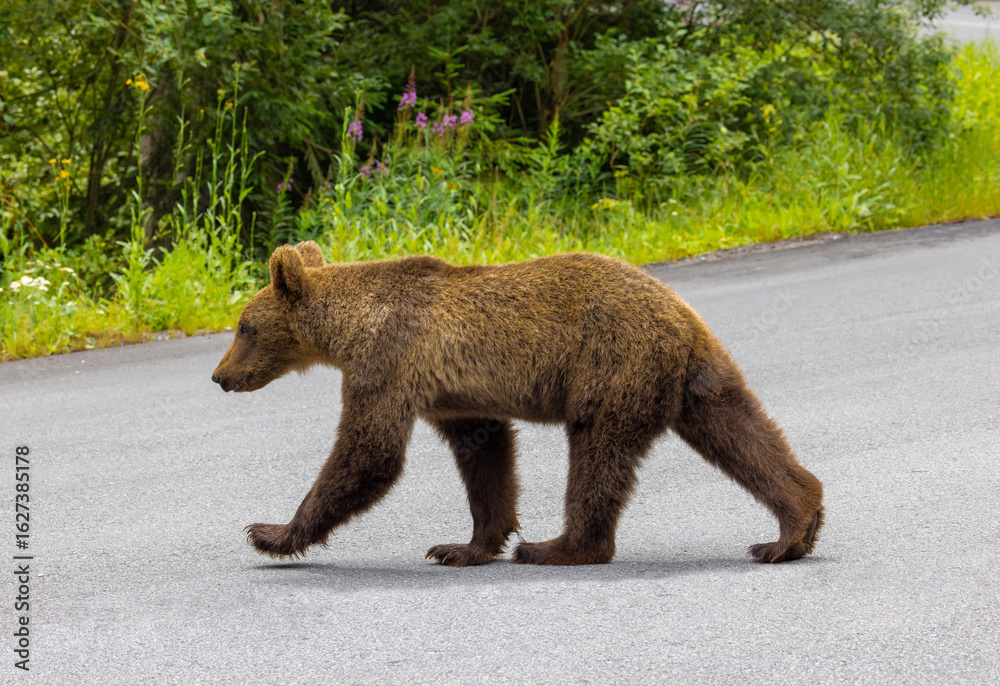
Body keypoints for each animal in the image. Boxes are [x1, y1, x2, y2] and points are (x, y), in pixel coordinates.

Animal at [212, 241, 824, 566]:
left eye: (243, 327)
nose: (219, 376)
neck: (350, 330)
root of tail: (680, 312)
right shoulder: (452, 394)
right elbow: (485, 456)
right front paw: (464, 545)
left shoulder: (389, 363)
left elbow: (368, 453)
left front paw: (270, 533)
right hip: (696, 378)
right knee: (743, 432)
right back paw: (791, 531)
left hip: (611, 365)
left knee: (597, 452)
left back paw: (559, 546)